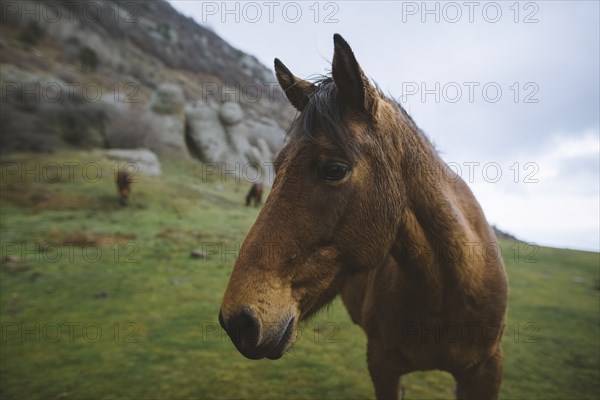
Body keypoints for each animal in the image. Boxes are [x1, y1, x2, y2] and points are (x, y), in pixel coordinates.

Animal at [218, 35, 508, 400]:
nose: (238, 322)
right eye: (277, 164)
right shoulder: (383, 365)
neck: (443, 293)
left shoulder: (485, 371)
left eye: (335, 169)